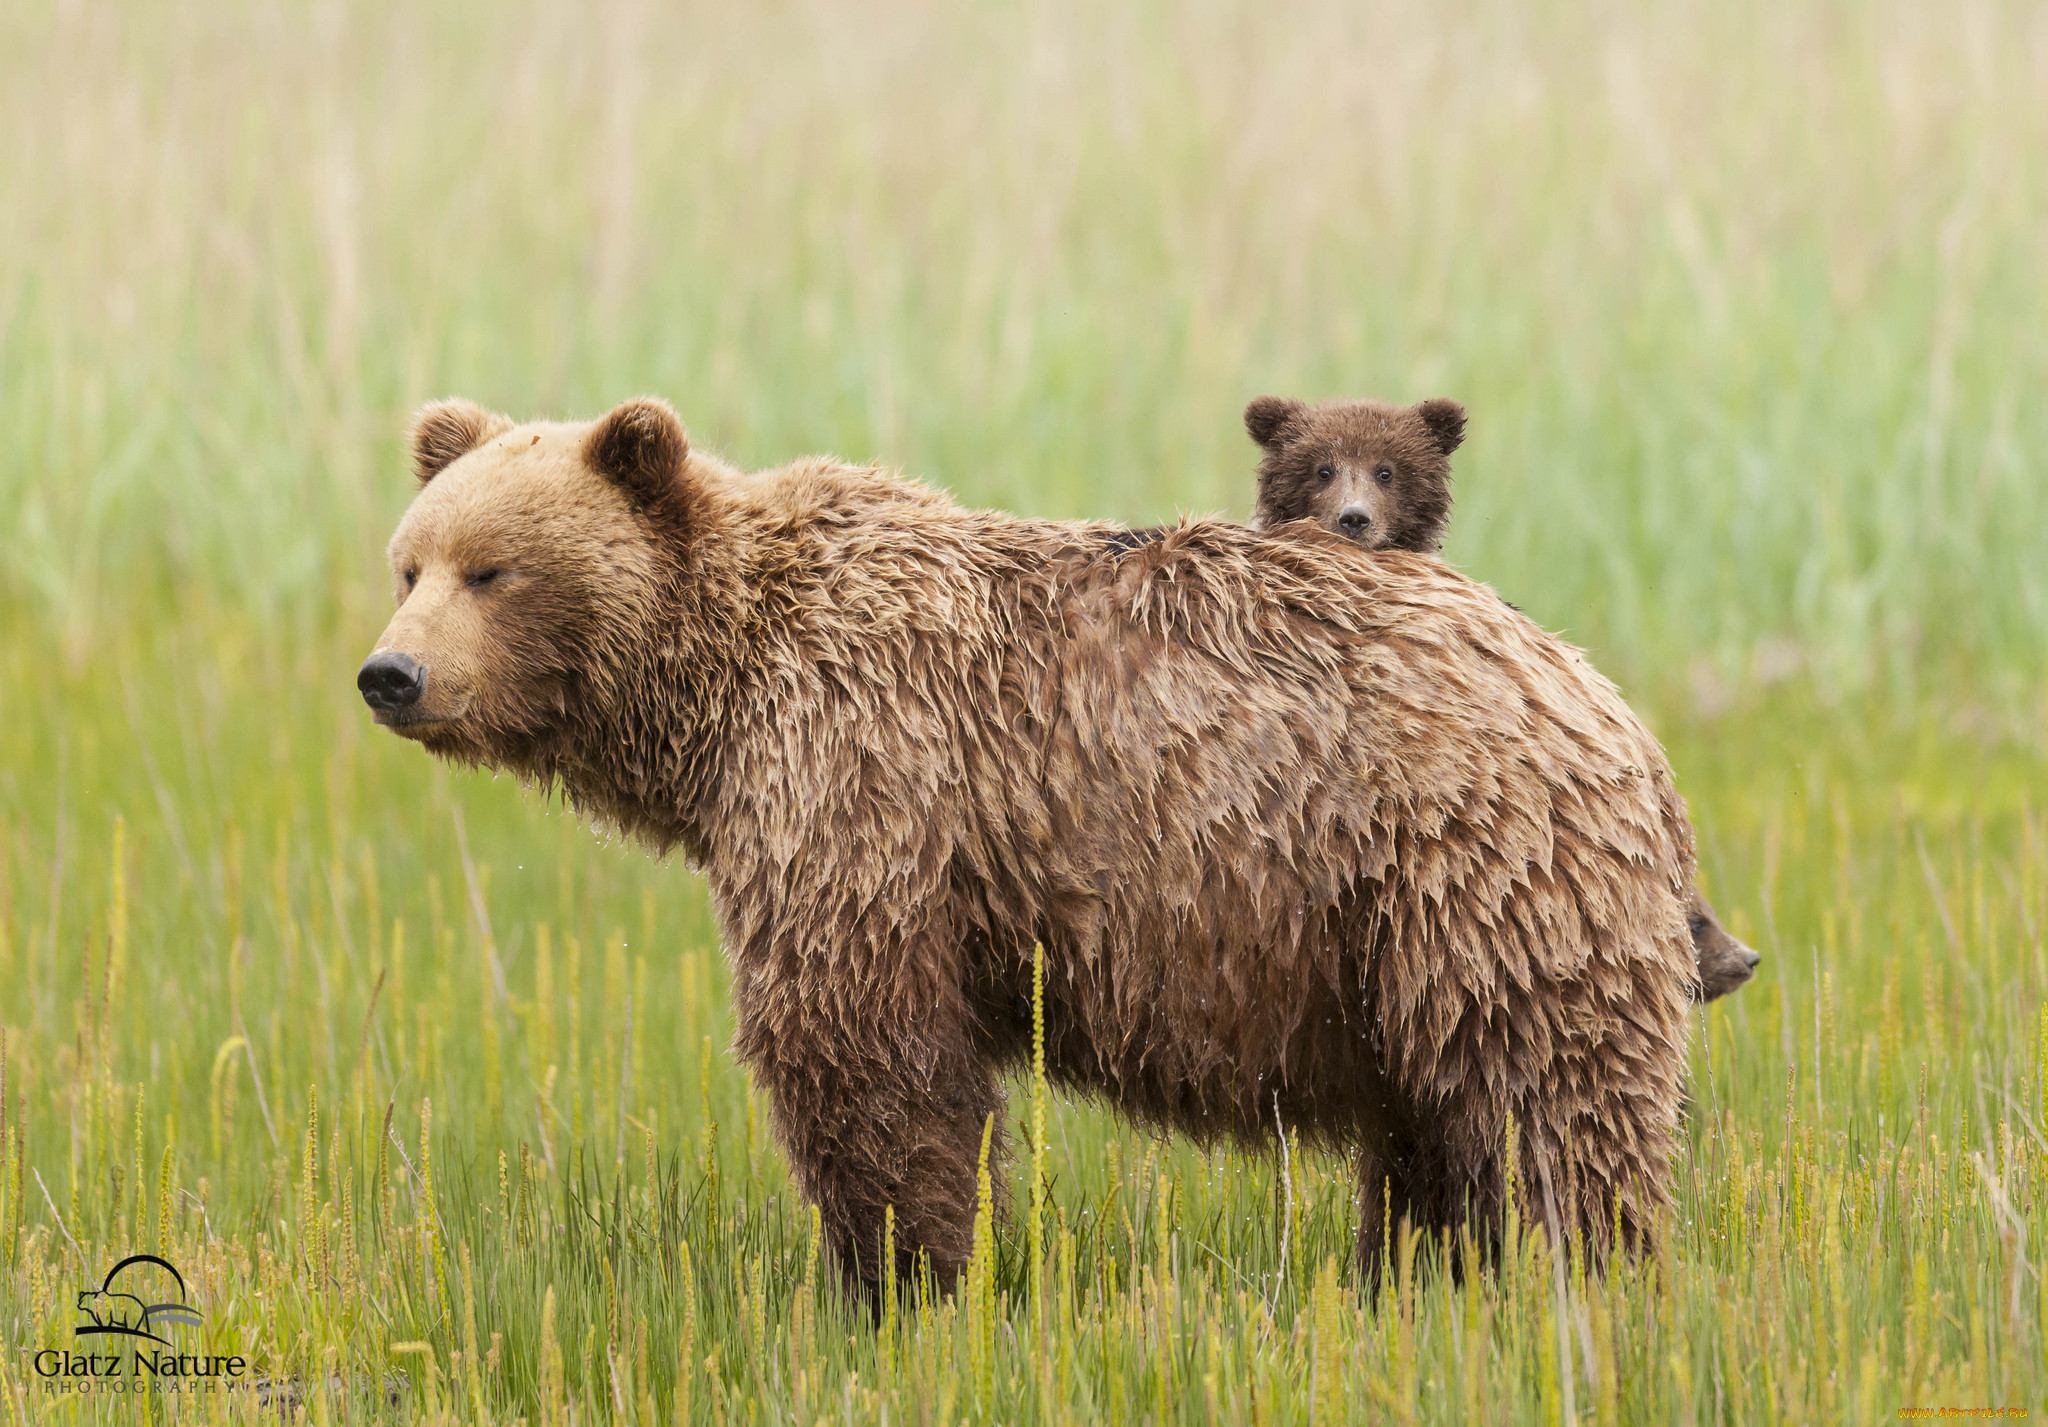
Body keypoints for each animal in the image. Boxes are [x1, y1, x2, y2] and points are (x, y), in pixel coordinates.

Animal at [364, 395, 1695, 1293]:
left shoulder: (862, 777)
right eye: (408, 562)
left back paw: (1591, 1273)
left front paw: (906, 1278)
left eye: (494, 569)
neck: (721, 701)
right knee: (1432, 1123)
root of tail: (1609, 701)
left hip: (1465, 864)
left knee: (1546, 1093)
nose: (393, 674)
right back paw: (1420, 1275)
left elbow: (861, 1050)